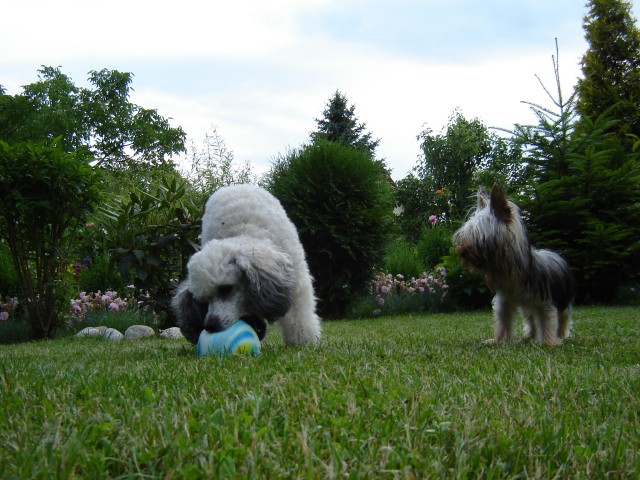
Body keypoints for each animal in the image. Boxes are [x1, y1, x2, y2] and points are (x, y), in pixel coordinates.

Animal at [171, 183, 320, 344]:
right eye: (202, 300)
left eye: (226, 289)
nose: (210, 325)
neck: (245, 233)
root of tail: (235, 186)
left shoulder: (297, 280)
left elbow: (299, 314)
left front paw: (304, 341)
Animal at [452, 184, 572, 344]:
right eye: (466, 235)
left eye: (480, 237)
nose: (462, 252)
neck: (509, 269)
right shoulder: (504, 300)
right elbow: (503, 320)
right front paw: (499, 340)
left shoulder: (544, 300)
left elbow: (547, 320)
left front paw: (548, 342)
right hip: (527, 306)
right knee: (530, 317)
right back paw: (530, 335)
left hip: (564, 297)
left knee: (563, 317)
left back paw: (561, 334)